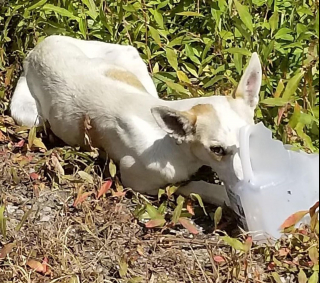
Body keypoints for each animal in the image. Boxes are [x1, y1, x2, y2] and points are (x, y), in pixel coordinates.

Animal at [10, 35, 262, 206]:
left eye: (252, 138)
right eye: (217, 150)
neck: (172, 143)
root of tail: (38, 47)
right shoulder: (137, 180)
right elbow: (196, 185)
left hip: (131, 61)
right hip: (29, 118)